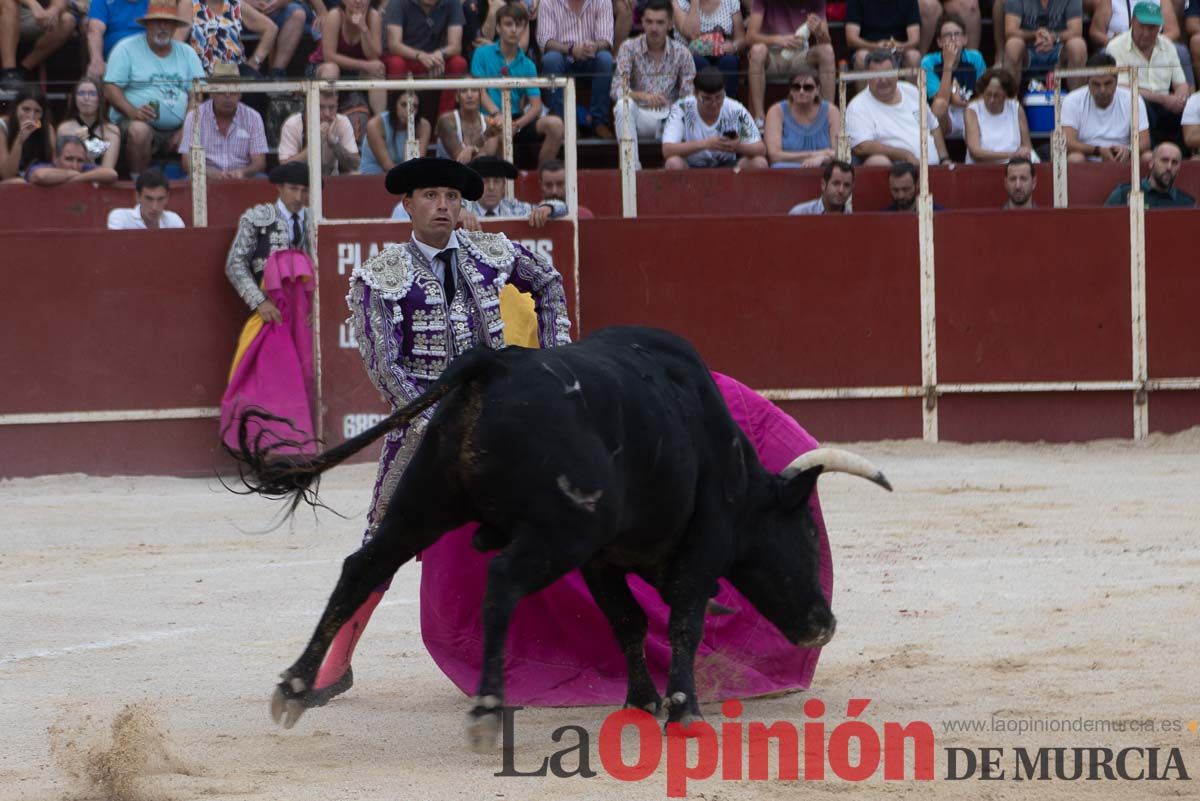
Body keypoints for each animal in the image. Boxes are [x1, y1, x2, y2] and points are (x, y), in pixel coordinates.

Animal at [231, 326, 892, 753]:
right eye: (806, 532)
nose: (823, 625)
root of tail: (493, 365)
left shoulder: (602, 561)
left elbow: (628, 622)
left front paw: (641, 702)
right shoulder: (696, 548)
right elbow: (682, 622)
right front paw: (685, 712)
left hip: (423, 503)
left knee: (361, 568)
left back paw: (295, 687)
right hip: (557, 534)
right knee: (500, 582)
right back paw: (486, 709)